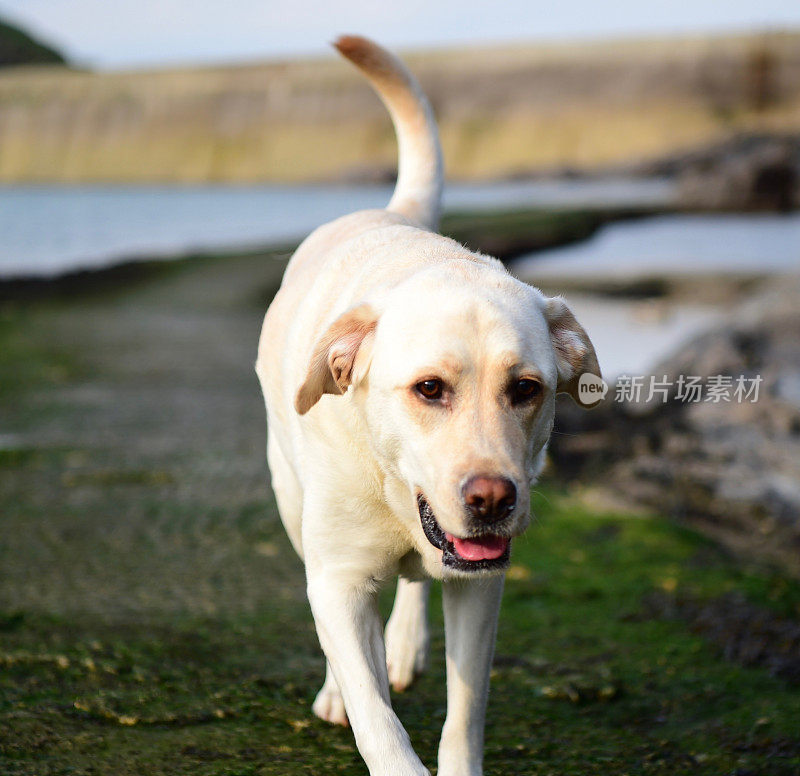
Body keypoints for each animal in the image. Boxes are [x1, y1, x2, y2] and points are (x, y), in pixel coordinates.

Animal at [256, 33, 600, 772]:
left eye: (525, 389)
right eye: (429, 389)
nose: (493, 500)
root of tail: (393, 215)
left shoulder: (482, 583)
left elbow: (465, 710)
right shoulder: (338, 577)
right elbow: (375, 717)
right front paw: (358, 698)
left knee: (418, 580)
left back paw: (406, 641)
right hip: (294, 503)